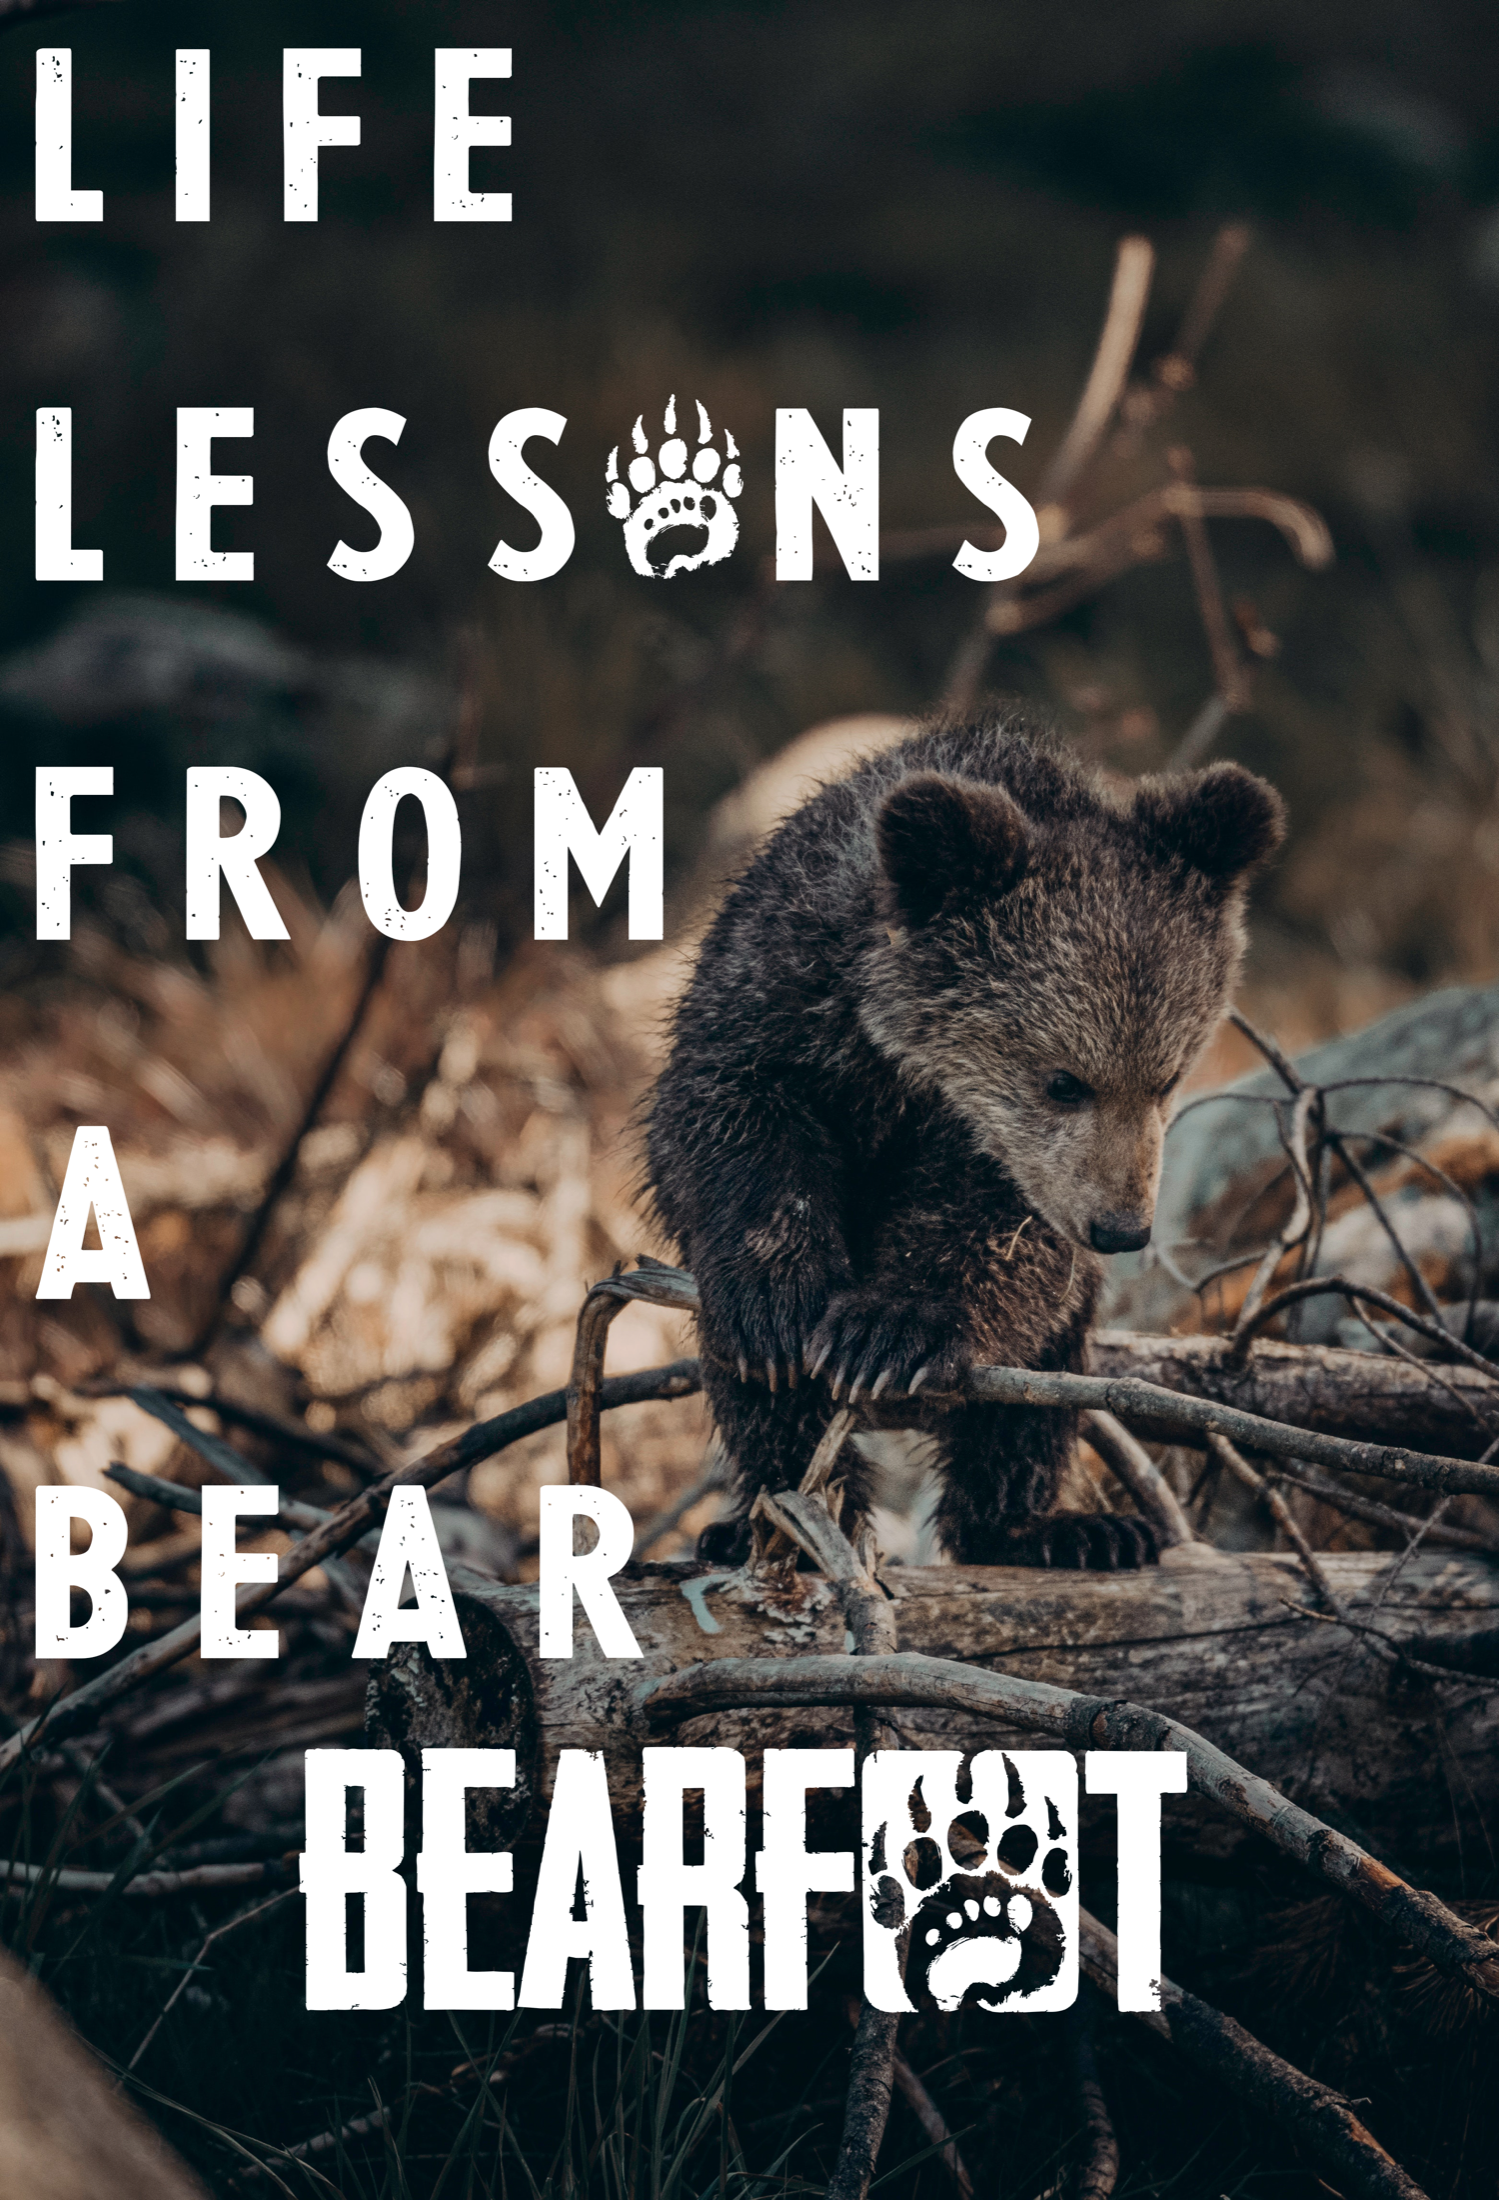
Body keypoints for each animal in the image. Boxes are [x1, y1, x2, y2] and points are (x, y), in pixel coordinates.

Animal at [644, 712, 1285, 1568]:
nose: (1120, 1228)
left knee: (1030, 1396)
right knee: (758, 1403)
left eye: (1167, 1076)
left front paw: (887, 1332)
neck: (907, 1061)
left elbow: (998, 1242)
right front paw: (774, 1306)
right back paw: (771, 1519)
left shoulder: (1010, 1168)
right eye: (1063, 1079)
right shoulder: (774, 1001)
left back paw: (1055, 1528)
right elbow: (722, 1126)